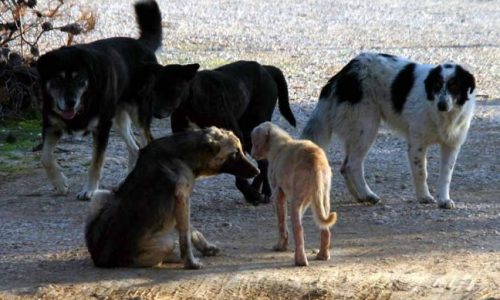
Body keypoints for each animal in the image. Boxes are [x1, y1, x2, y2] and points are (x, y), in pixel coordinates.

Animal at [36, 1, 199, 202]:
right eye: (57, 79)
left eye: (79, 79)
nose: (70, 102)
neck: (84, 102)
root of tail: (141, 44)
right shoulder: (51, 125)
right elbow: (45, 157)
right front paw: (60, 183)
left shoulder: (102, 128)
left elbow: (96, 164)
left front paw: (89, 190)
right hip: (118, 118)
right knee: (135, 148)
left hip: (138, 113)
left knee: (146, 142)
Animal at [84, 127, 260, 270]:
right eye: (234, 154)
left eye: (241, 150)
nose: (257, 171)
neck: (183, 155)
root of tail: (101, 259)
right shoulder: (182, 200)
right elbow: (185, 236)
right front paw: (190, 263)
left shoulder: (182, 204)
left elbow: (192, 231)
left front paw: (206, 248)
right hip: (164, 243)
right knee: (159, 256)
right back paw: (173, 257)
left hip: (100, 195)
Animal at [154, 61, 296, 206]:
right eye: (154, 89)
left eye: (173, 89)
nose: (156, 112)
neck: (191, 101)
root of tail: (265, 68)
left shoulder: (236, 136)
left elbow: (240, 173)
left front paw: (251, 194)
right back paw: (256, 189)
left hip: (251, 130)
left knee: (264, 162)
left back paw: (265, 192)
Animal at [252, 120, 338, 266]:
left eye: (253, 142)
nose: (251, 154)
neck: (279, 144)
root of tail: (315, 159)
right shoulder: (308, 200)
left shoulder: (278, 193)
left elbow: (281, 224)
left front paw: (280, 246)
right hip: (323, 199)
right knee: (325, 230)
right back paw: (323, 255)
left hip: (296, 202)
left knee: (299, 231)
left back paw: (300, 260)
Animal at [300, 52, 476, 209]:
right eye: (437, 86)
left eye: (454, 86)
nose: (442, 105)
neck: (442, 115)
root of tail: (345, 72)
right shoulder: (417, 144)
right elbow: (421, 172)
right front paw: (424, 197)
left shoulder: (451, 145)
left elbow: (446, 175)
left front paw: (444, 200)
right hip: (366, 127)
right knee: (352, 165)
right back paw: (367, 195)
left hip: (357, 131)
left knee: (344, 167)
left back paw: (359, 196)